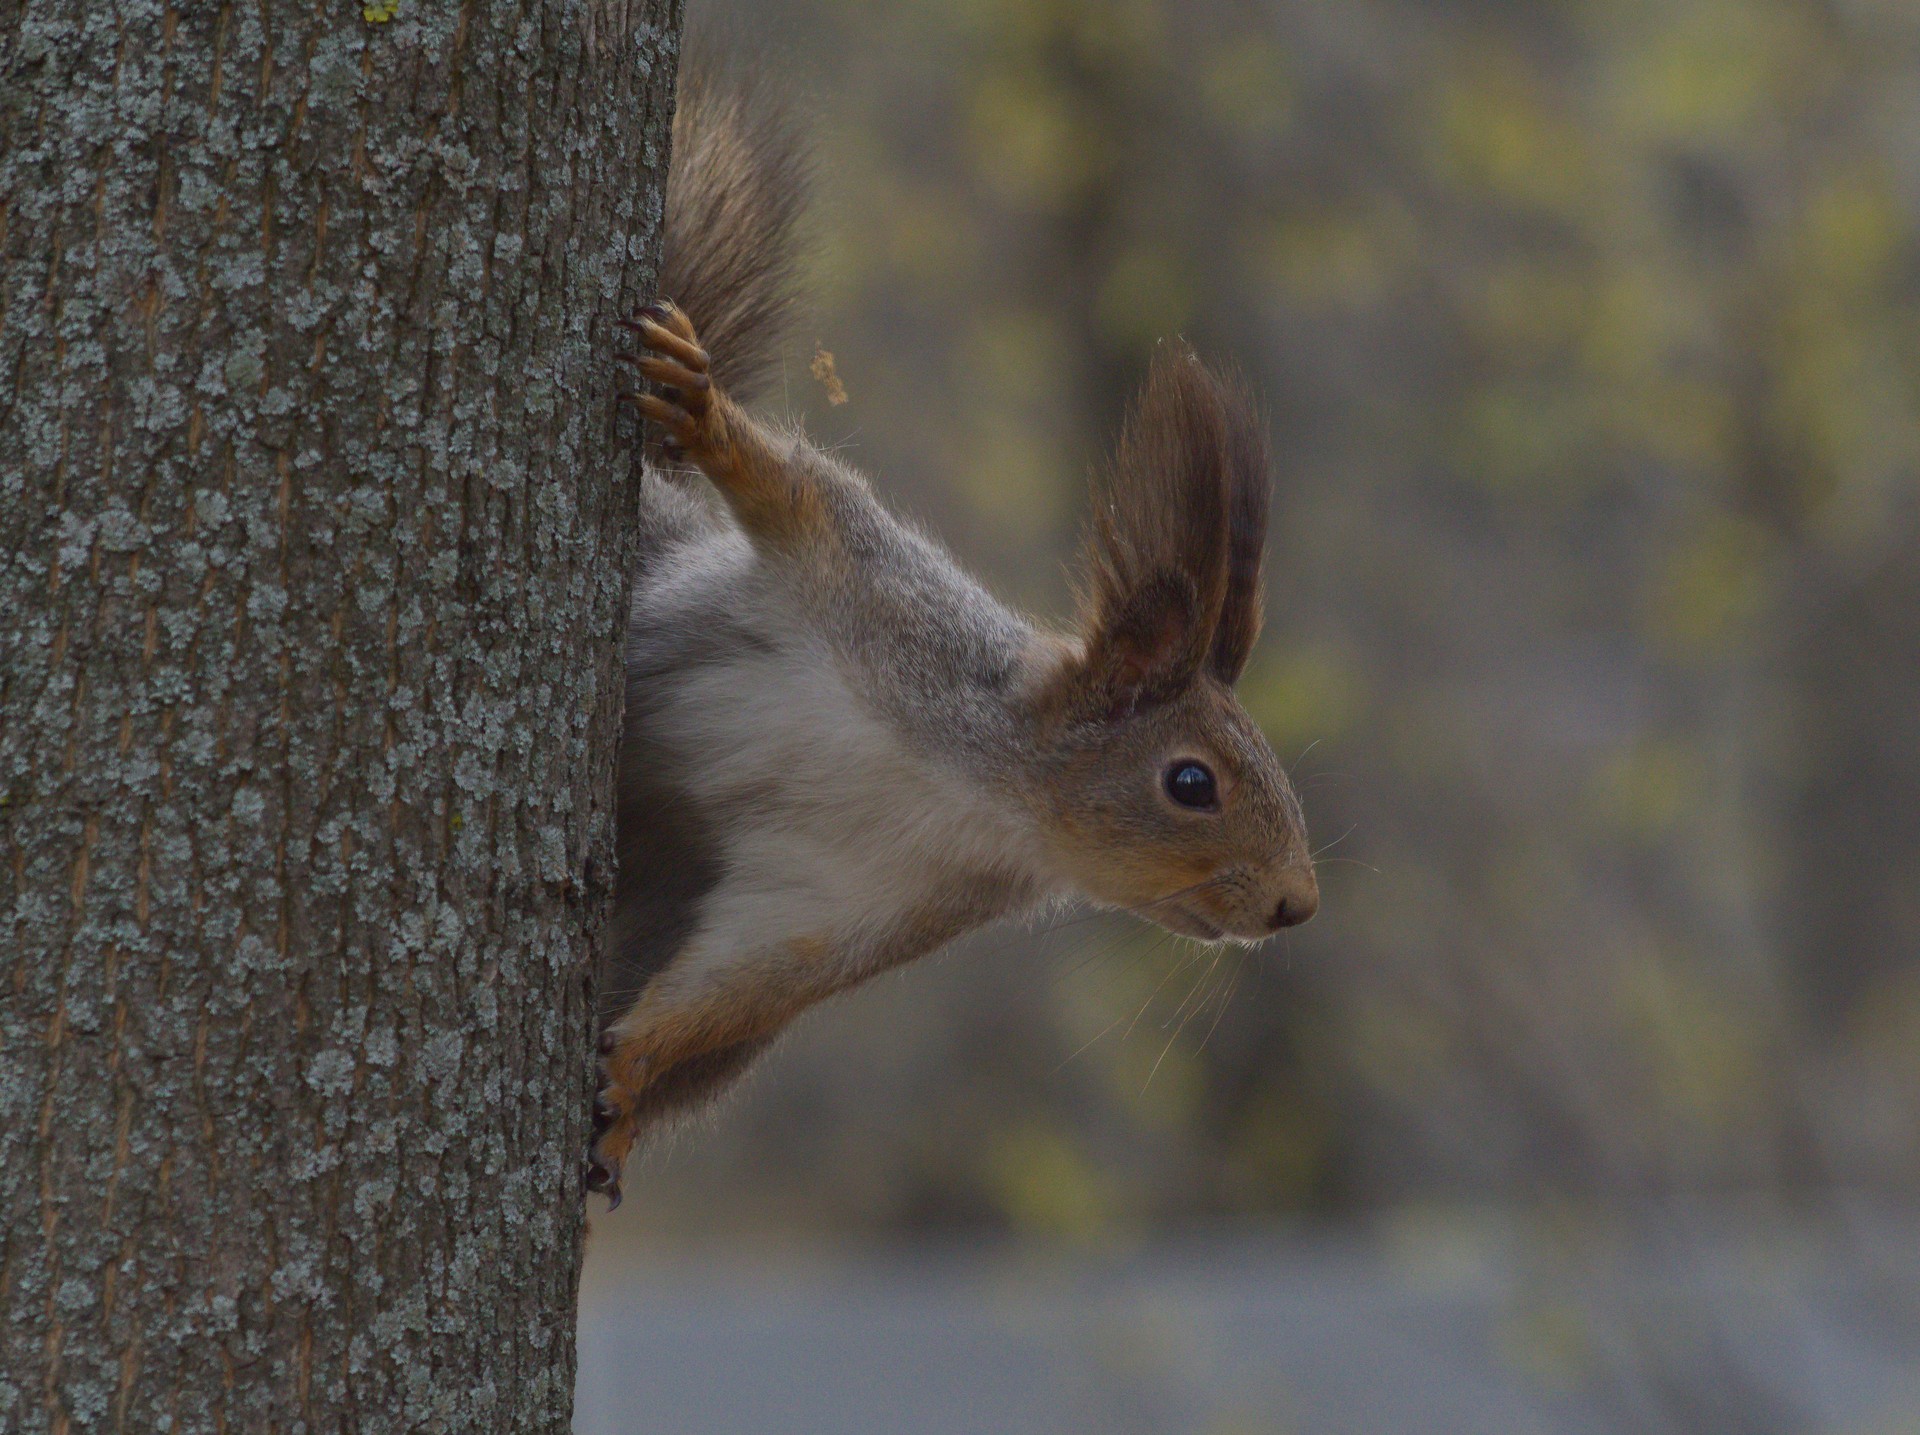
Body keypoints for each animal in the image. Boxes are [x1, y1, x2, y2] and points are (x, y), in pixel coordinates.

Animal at [587, 58, 1320, 1198]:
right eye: (1192, 782)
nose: (1298, 903)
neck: (979, 790)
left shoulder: (843, 907)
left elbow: (729, 988)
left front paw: (628, 1080)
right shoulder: (875, 598)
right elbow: (799, 492)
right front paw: (700, 409)